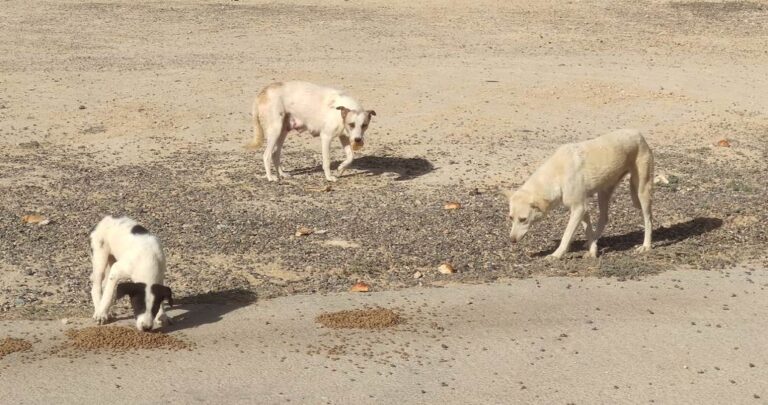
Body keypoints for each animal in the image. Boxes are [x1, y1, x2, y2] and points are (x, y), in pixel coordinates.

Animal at [248, 80, 376, 181]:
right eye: (352, 124)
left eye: (364, 125)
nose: (358, 140)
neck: (339, 113)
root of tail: (263, 92)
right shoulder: (326, 137)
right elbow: (327, 161)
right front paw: (329, 177)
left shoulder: (344, 137)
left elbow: (351, 157)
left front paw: (341, 168)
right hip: (275, 130)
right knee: (266, 155)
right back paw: (270, 177)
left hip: (283, 131)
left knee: (275, 153)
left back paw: (282, 174)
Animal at [504, 128, 656, 258]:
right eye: (511, 218)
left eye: (523, 219)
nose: (511, 240)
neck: (557, 174)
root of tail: (638, 134)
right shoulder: (583, 209)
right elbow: (587, 230)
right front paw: (593, 250)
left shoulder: (579, 208)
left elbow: (566, 235)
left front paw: (557, 254)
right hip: (603, 192)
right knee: (604, 218)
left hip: (642, 190)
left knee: (648, 219)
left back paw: (646, 246)